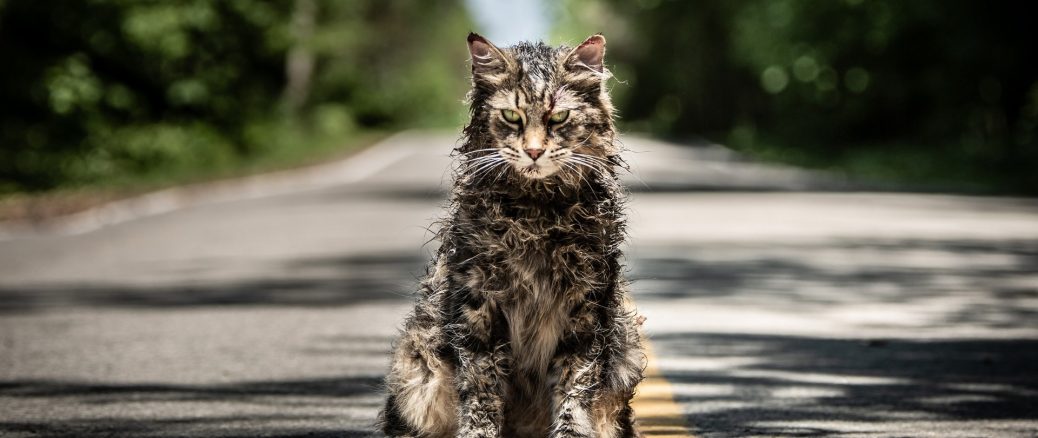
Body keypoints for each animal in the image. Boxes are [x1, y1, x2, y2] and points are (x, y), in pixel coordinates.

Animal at [377, 33, 643, 437]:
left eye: (558, 117)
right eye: (512, 117)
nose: (533, 151)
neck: (536, 214)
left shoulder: (585, 308)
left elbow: (574, 388)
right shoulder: (479, 306)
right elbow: (481, 390)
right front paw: (478, 432)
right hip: (417, 367)